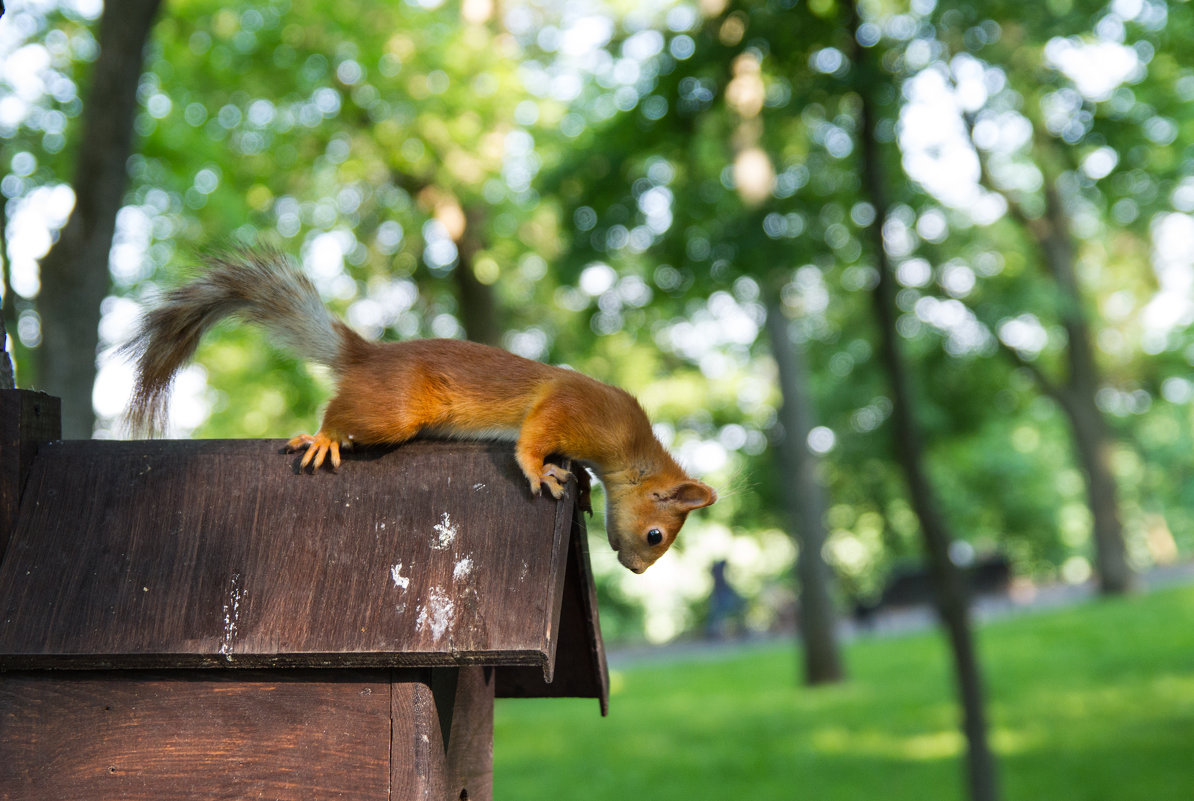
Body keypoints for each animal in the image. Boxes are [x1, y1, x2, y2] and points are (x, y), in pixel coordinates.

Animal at [122, 247, 711, 572]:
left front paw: (583, 485)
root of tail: (368, 357)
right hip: (392, 409)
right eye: (656, 536)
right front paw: (540, 473)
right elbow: (531, 438)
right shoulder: (570, 406)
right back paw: (323, 438)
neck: (627, 448)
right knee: (339, 413)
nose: (636, 570)